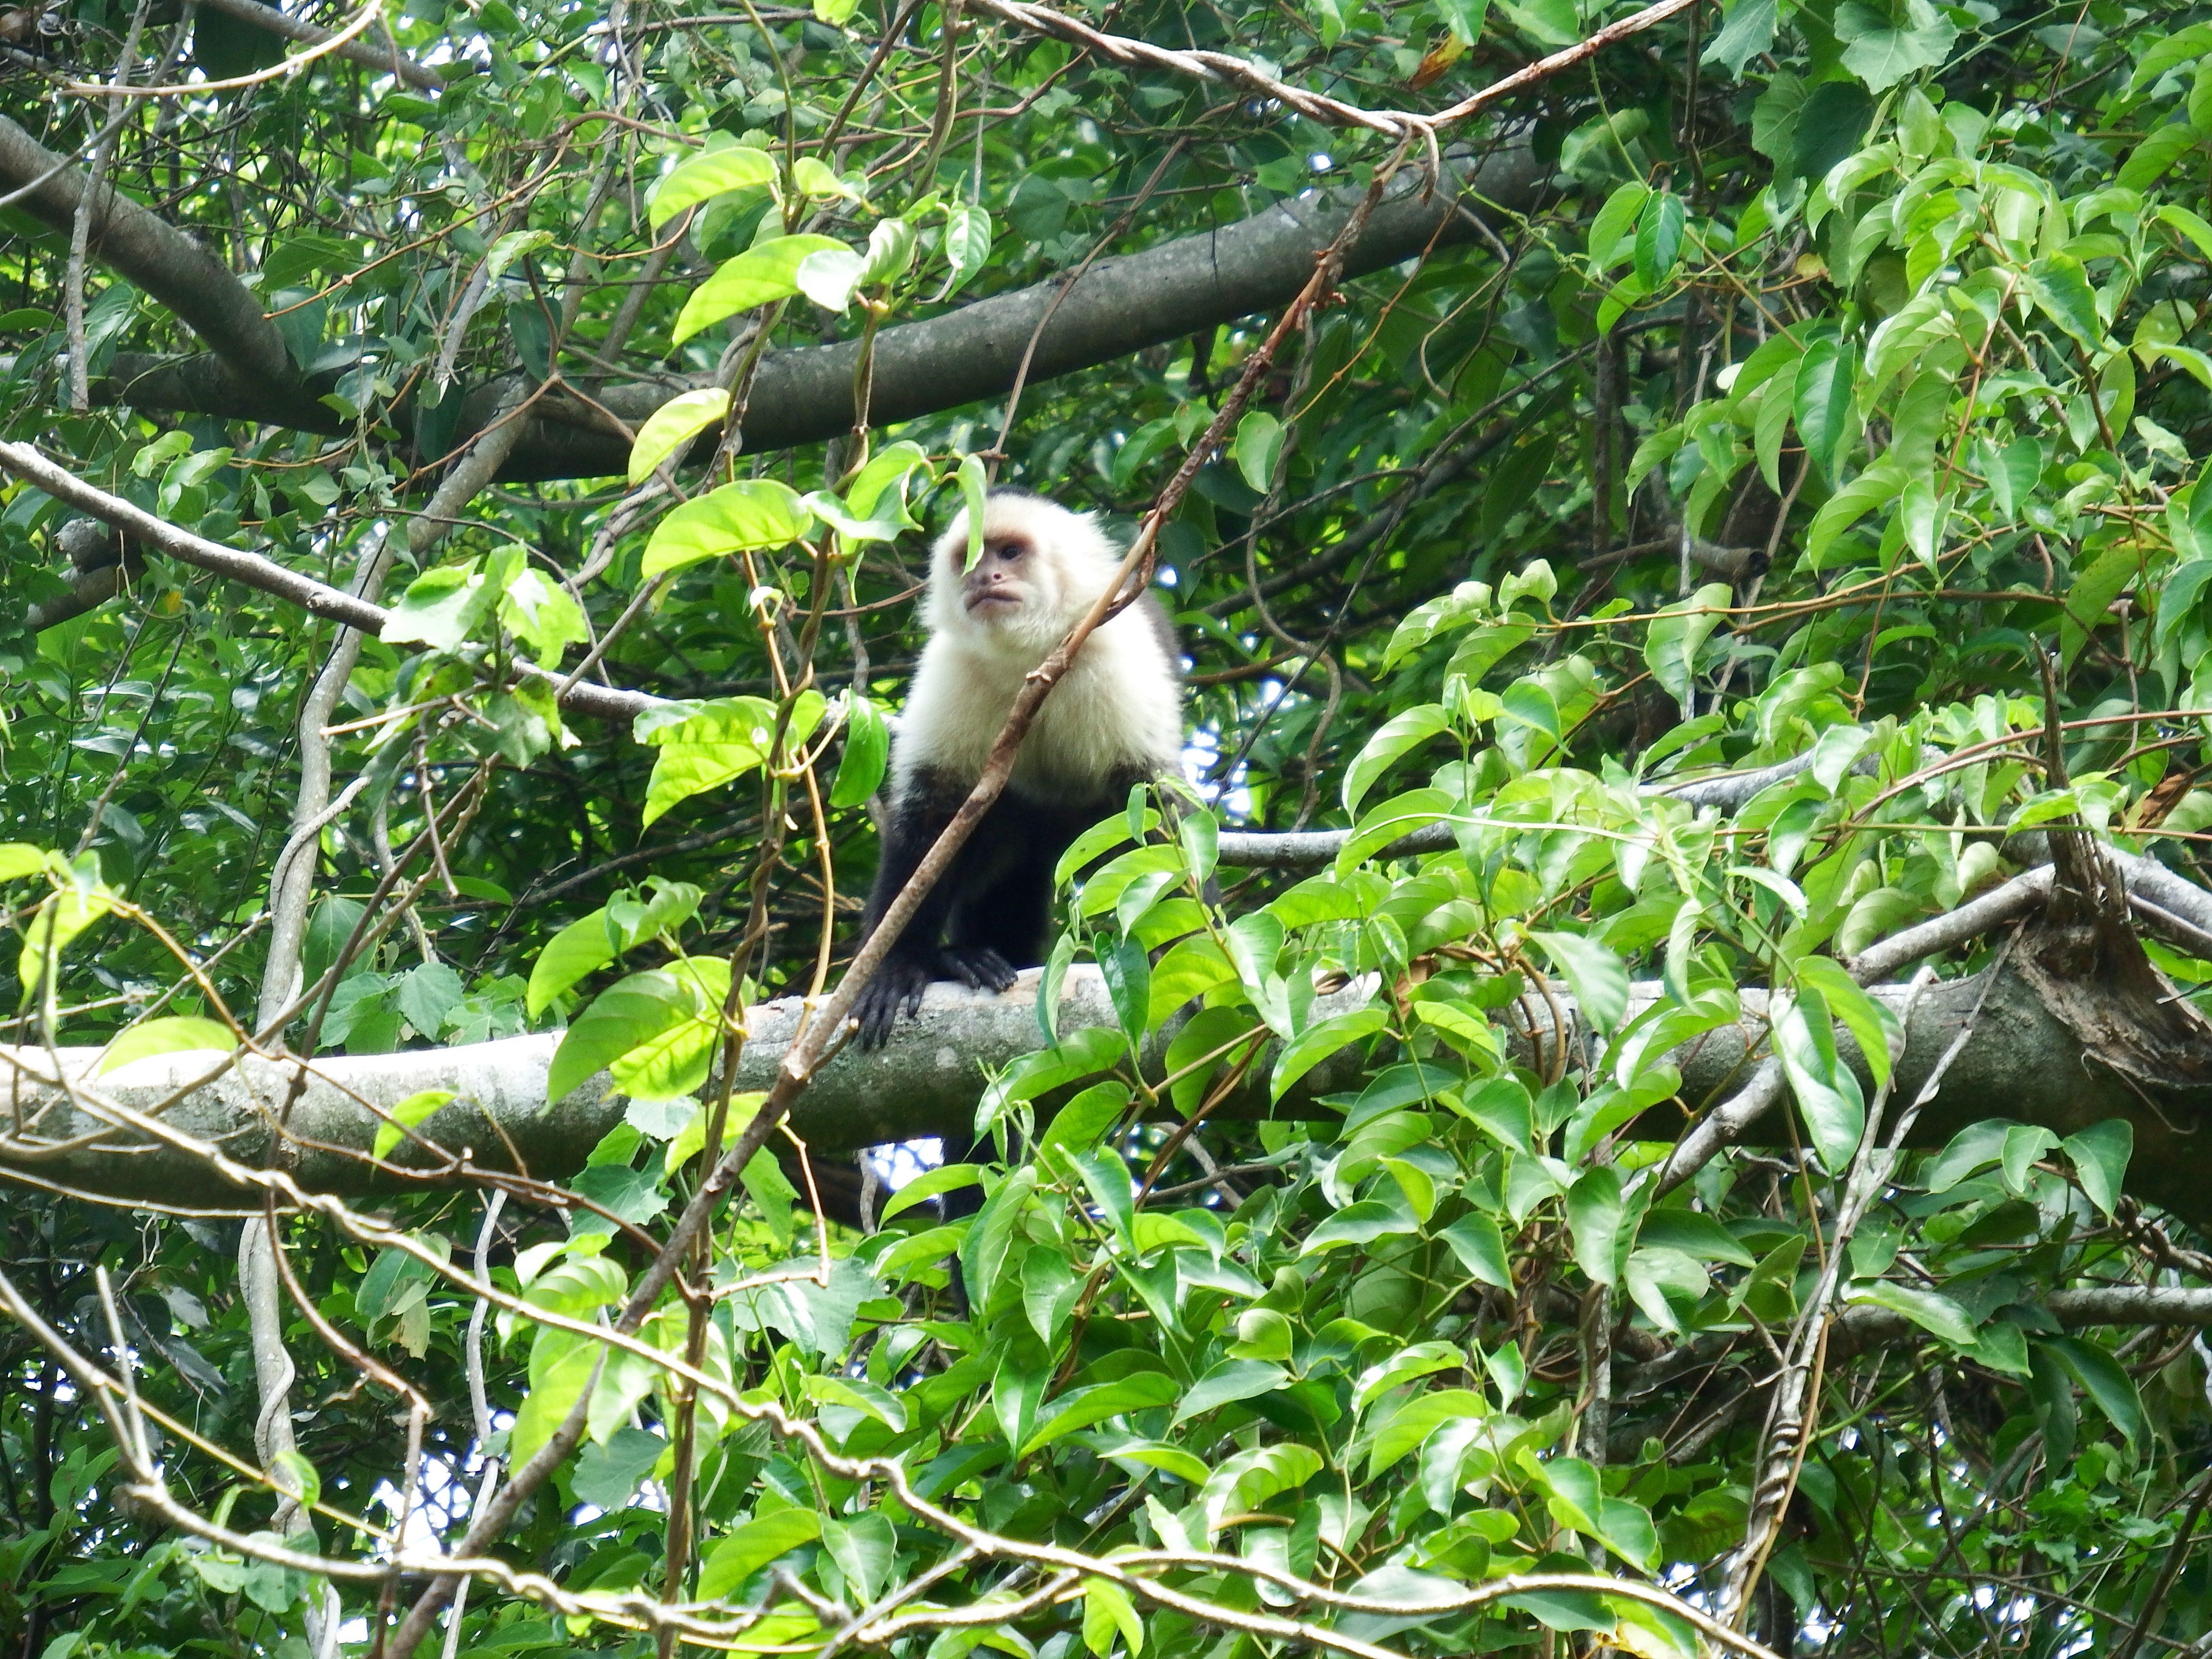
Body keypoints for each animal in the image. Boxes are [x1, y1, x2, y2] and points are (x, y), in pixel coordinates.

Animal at [850, 488, 1184, 1050]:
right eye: (969, 559)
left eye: (1009, 552)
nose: (986, 577)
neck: (1035, 659)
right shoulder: (952, 666)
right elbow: (931, 817)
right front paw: (894, 968)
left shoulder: (1116, 647)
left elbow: (1151, 807)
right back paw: (963, 959)